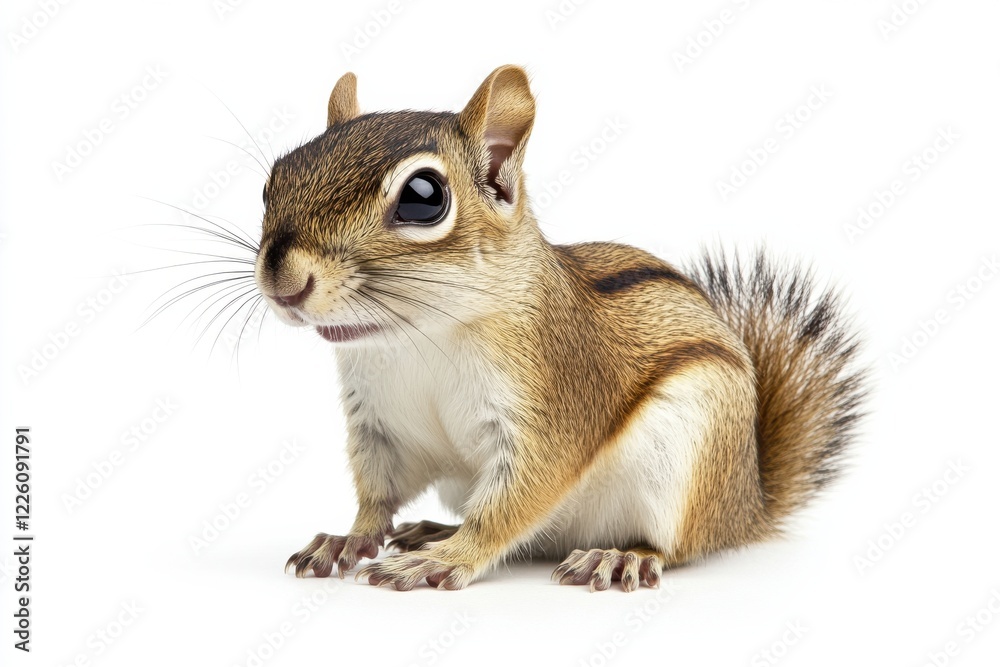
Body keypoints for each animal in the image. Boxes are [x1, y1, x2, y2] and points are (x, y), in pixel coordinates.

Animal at [253, 65, 866, 591]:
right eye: (274, 180)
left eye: (423, 197)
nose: (283, 277)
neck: (416, 337)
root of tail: (747, 505)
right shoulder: (380, 427)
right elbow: (376, 497)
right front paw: (347, 539)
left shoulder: (555, 408)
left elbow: (512, 504)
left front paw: (448, 558)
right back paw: (434, 529)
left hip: (688, 460)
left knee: (676, 546)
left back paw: (618, 556)